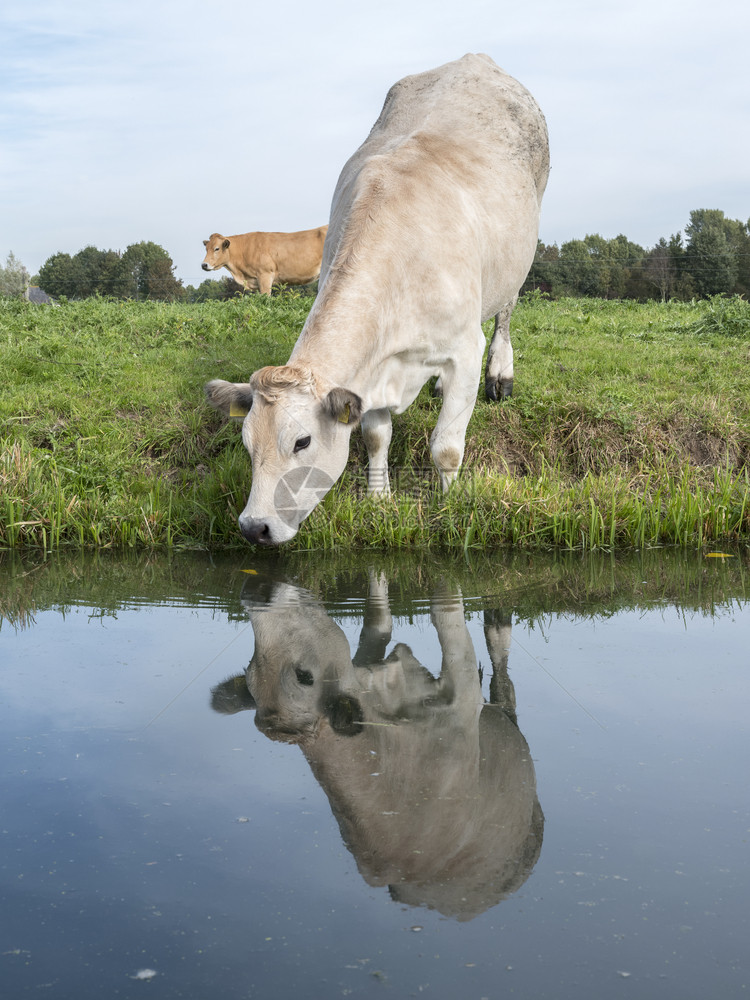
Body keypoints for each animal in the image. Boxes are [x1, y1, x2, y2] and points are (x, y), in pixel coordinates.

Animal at [209, 51, 548, 544]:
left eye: (302, 441)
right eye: (247, 444)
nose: (255, 527)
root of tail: (476, 58)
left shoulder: (465, 348)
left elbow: (447, 447)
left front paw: (450, 504)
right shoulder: (368, 373)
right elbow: (374, 437)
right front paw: (378, 498)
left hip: (520, 248)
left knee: (506, 309)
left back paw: (501, 371)